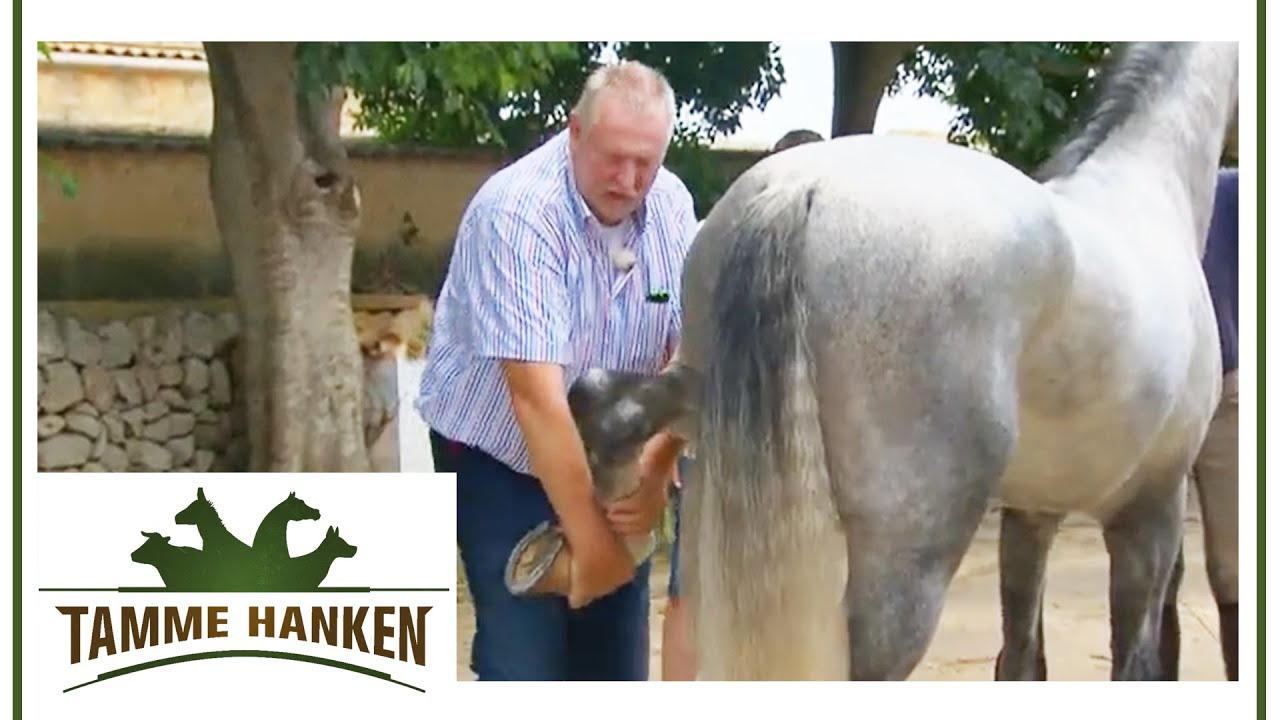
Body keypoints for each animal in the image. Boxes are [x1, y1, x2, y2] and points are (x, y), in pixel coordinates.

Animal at [586, 41, 1238, 680]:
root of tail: (800, 188)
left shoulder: (1033, 513)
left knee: (603, 403)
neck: (1147, 188)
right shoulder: (1152, 513)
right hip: (903, 568)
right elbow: (1135, 662)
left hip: (701, 417)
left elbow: (1021, 657)